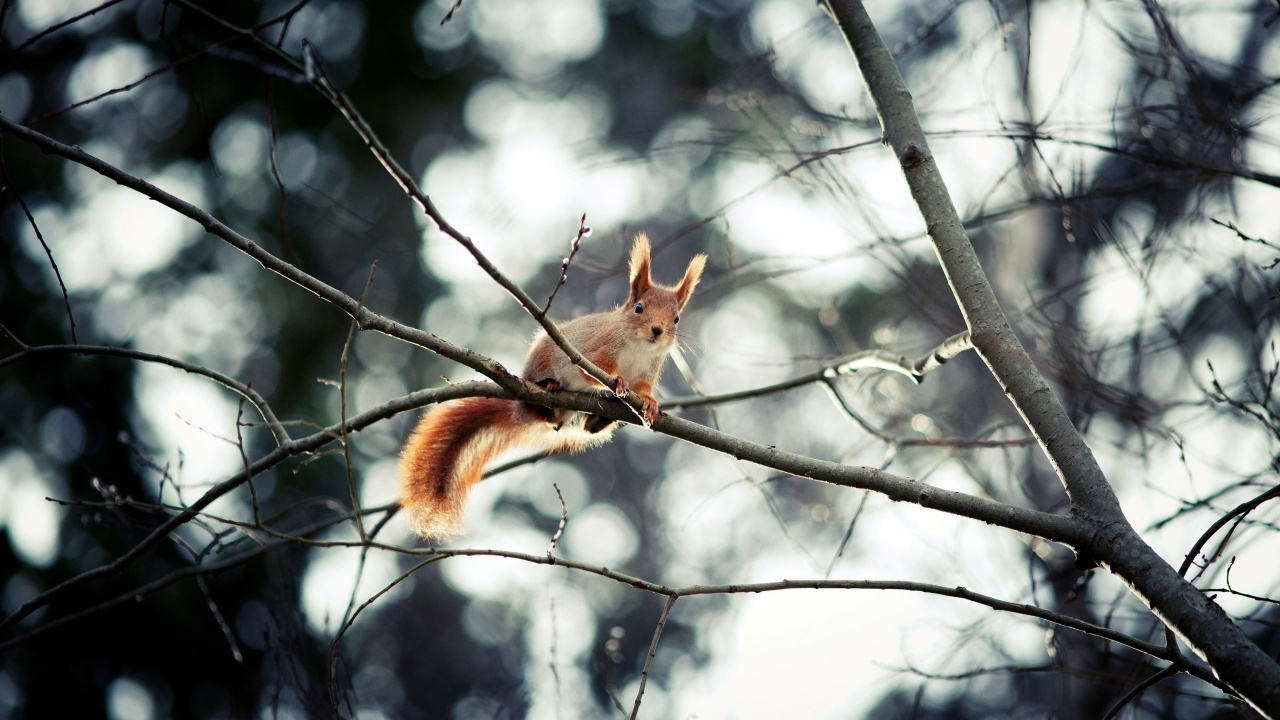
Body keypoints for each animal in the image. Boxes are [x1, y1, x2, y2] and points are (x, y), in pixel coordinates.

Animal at [399, 233, 707, 539]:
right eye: (639, 308)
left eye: (676, 318)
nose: (657, 331)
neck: (638, 347)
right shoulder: (594, 351)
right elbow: (594, 371)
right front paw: (616, 381)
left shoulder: (647, 371)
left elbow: (642, 389)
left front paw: (650, 404)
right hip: (541, 366)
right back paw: (549, 388)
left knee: (582, 427)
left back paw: (597, 420)